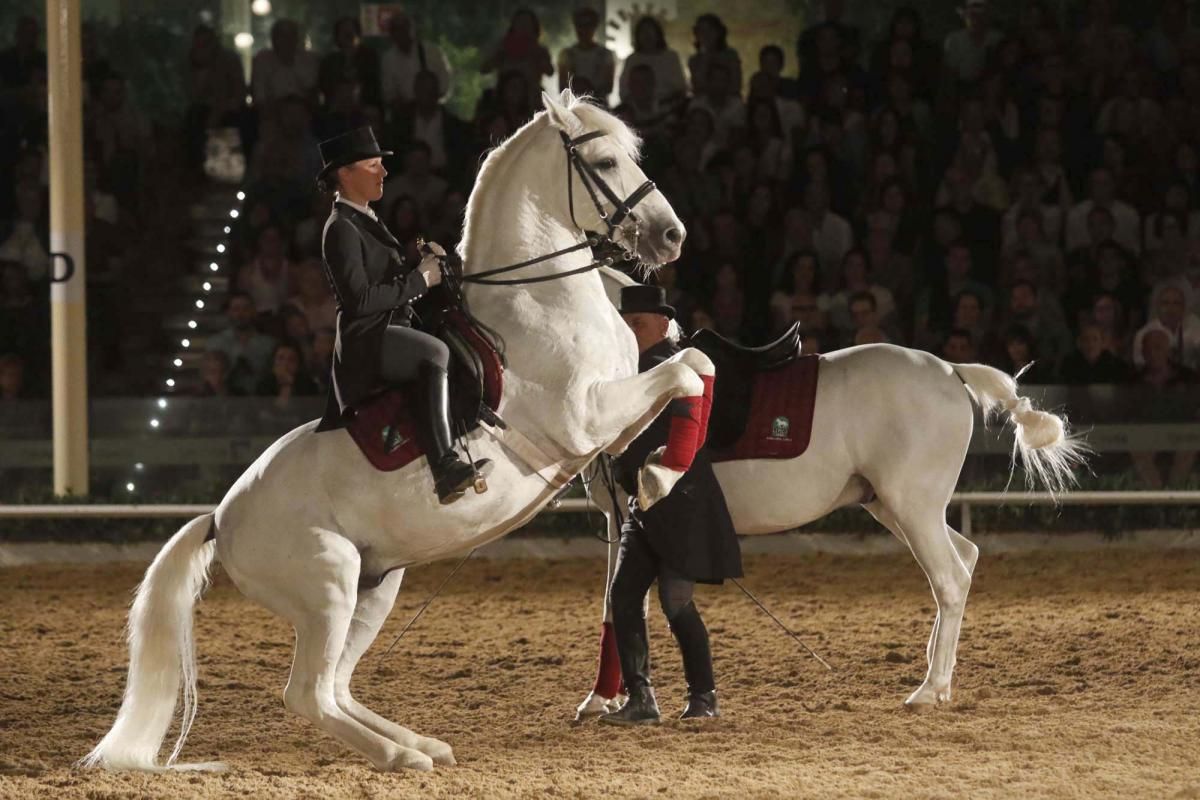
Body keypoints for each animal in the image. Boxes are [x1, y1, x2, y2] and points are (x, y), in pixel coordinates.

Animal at [84, 94, 710, 777]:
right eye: (604, 161)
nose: (673, 236)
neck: (537, 304)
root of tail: (221, 519)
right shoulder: (585, 415)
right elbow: (686, 371)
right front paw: (664, 474)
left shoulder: (611, 424)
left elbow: (693, 368)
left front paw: (653, 470)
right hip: (328, 585)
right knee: (307, 693)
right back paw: (399, 755)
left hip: (375, 585)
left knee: (337, 686)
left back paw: (420, 744)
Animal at [571, 267, 1089, 719]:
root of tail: (950, 369)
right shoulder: (626, 521)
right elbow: (621, 604)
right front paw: (610, 698)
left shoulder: (624, 516)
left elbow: (617, 604)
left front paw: (601, 700)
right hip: (898, 509)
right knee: (965, 558)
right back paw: (938, 678)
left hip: (914, 509)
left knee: (950, 579)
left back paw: (928, 689)